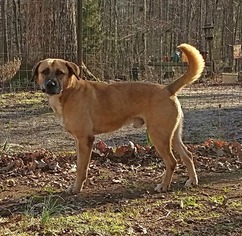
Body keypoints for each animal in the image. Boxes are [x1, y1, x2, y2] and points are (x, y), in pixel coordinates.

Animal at [32, 43, 204, 194]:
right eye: (45, 71)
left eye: (60, 73)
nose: (51, 84)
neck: (69, 91)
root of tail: (167, 88)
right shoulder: (78, 141)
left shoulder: (85, 139)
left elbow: (81, 168)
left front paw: (76, 188)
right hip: (172, 136)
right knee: (188, 155)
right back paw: (192, 181)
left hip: (158, 136)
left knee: (171, 162)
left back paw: (164, 186)